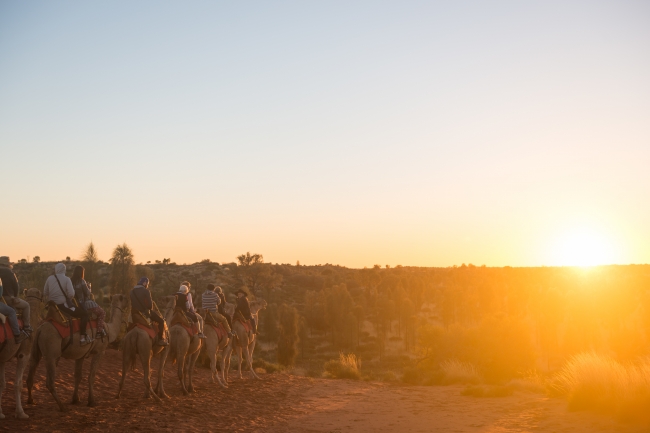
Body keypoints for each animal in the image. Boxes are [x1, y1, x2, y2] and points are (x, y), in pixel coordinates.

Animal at [0, 288, 41, 416]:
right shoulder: (24, 354)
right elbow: (18, 384)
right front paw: (21, 412)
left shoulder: (3, 358)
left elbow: (2, 383)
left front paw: (1, 413)